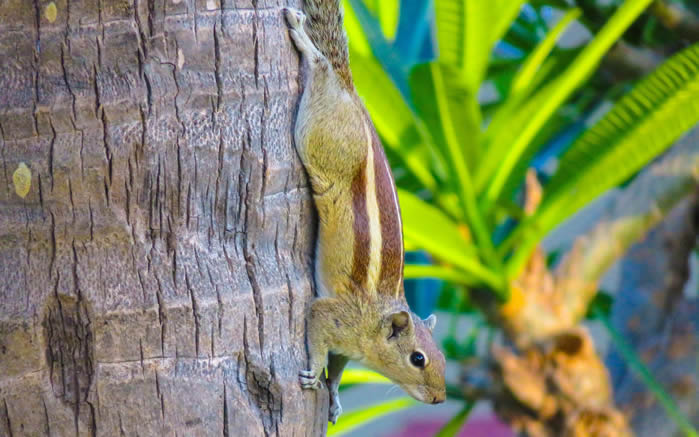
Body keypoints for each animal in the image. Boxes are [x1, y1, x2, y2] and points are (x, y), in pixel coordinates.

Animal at [282, 0, 446, 424]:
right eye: (418, 359)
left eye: (440, 355)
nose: (440, 399)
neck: (373, 324)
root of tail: (352, 92)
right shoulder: (331, 315)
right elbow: (317, 333)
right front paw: (312, 373)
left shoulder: (345, 347)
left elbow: (338, 370)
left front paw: (335, 398)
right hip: (320, 138)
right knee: (322, 68)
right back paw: (306, 42)